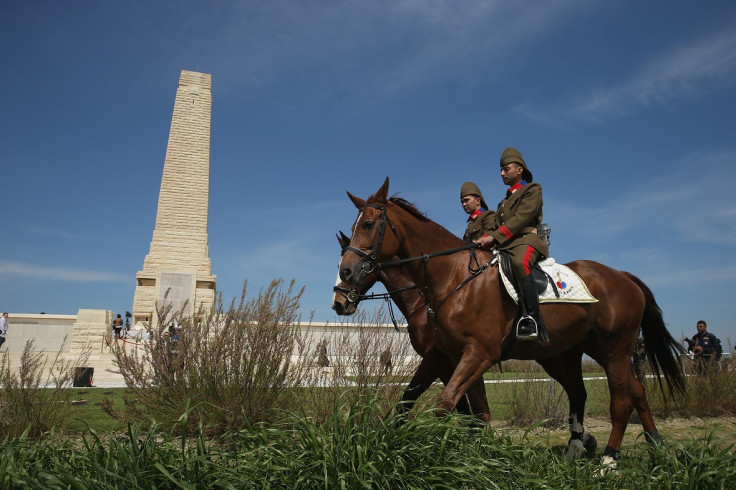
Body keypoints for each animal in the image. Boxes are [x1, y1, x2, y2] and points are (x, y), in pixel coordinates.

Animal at [332, 230, 492, 418]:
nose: (338, 304)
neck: (421, 303)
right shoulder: (448, 363)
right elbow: (462, 407)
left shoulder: (437, 357)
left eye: (347, 271)